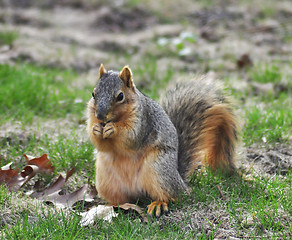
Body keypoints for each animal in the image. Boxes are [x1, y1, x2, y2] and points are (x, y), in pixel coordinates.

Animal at [86, 63, 237, 216]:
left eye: (120, 96)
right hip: (106, 180)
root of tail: (180, 181)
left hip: (159, 169)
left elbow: (132, 137)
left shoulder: (143, 121)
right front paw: (95, 129)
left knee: (172, 195)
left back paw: (158, 204)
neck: (117, 118)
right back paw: (111, 206)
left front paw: (113, 128)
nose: (100, 116)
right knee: (121, 198)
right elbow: (100, 144)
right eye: (93, 94)